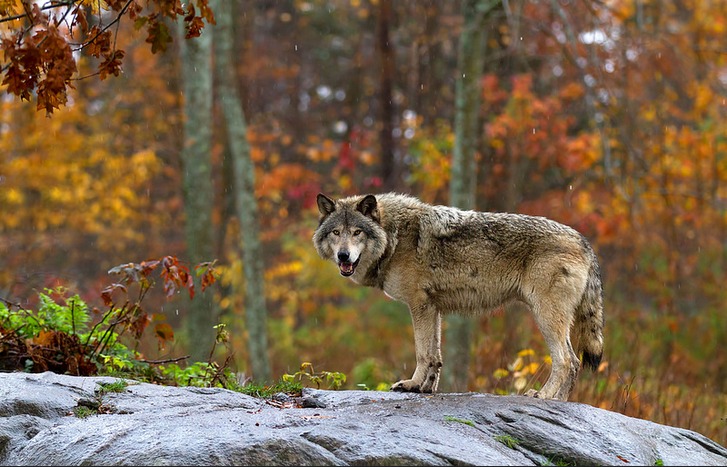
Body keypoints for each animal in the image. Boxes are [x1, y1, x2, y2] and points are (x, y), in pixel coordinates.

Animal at [316, 194, 604, 402]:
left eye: (357, 232)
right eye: (336, 233)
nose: (343, 256)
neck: (393, 238)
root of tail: (584, 242)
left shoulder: (419, 305)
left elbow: (422, 353)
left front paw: (411, 384)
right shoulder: (432, 308)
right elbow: (435, 355)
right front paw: (425, 388)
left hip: (545, 316)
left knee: (565, 361)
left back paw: (543, 396)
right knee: (575, 362)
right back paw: (560, 401)